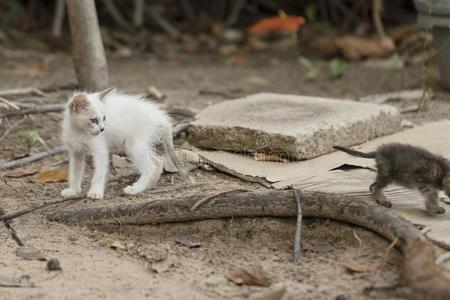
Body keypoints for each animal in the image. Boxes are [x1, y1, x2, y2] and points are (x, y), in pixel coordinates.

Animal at [60, 88, 192, 199]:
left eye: (104, 118)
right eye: (94, 120)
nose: (102, 129)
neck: (79, 130)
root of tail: (160, 117)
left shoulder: (100, 151)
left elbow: (99, 174)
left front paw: (95, 192)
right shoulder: (76, 152)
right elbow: (74, 173)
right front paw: (73, 191)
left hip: (133, 145)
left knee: (150, 167)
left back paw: (136, 189)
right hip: (141, 143)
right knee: (158, 161)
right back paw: (148, 186)